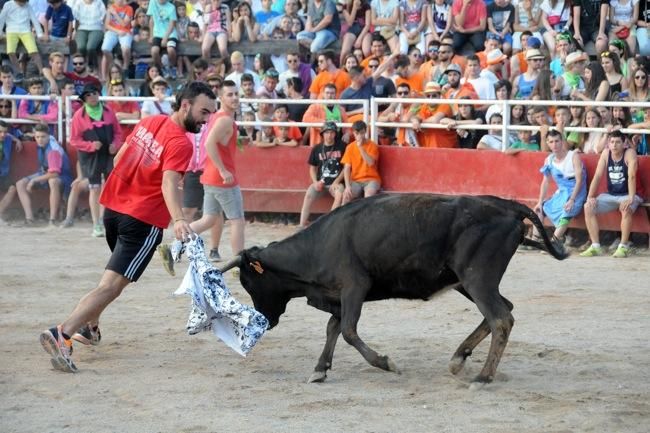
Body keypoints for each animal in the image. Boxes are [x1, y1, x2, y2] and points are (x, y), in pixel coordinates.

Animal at [219, 193, 568, 388]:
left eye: (249, 281)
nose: (265, 319)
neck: (318, 246)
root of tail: (508, 207)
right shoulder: (338, 297)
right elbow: (333, 328)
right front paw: (319, 370)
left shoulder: (354, 288)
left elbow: (348, 331)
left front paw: (387, 363)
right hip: (468, 283)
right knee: (504, 310)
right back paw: (459, 358)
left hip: (477, 279)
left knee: (500, 319)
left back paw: (482, 378)